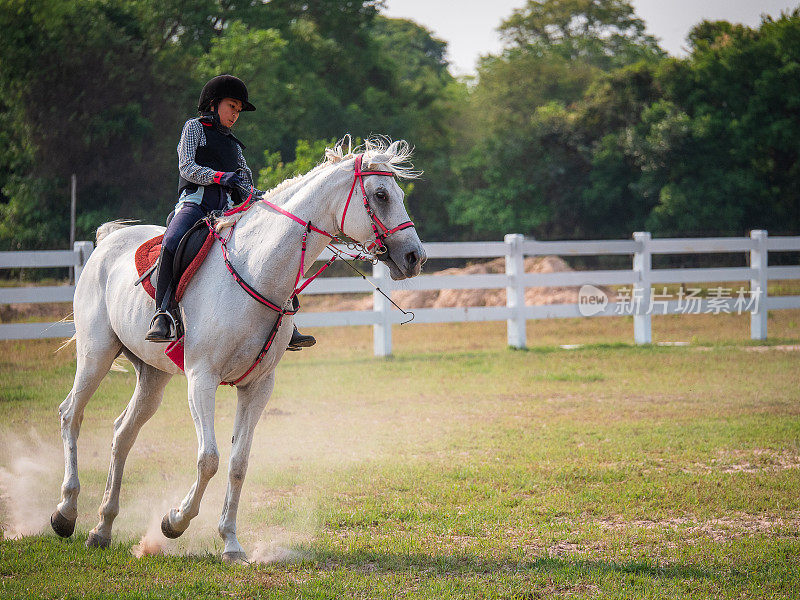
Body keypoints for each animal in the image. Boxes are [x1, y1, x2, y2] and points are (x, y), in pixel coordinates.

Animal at [50, 138, 424, 560]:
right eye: (380, 195)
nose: (415, 256)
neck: (257, 270)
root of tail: (107, 241)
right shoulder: (201, 379)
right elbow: (209, 459)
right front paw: (174, 522)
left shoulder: (257, 387)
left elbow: (238, 463)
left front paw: (230, 542)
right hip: (95, 355)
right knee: (71, 415)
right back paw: (65, 513)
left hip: (152, 377)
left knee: (122, 434)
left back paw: (102, 528)